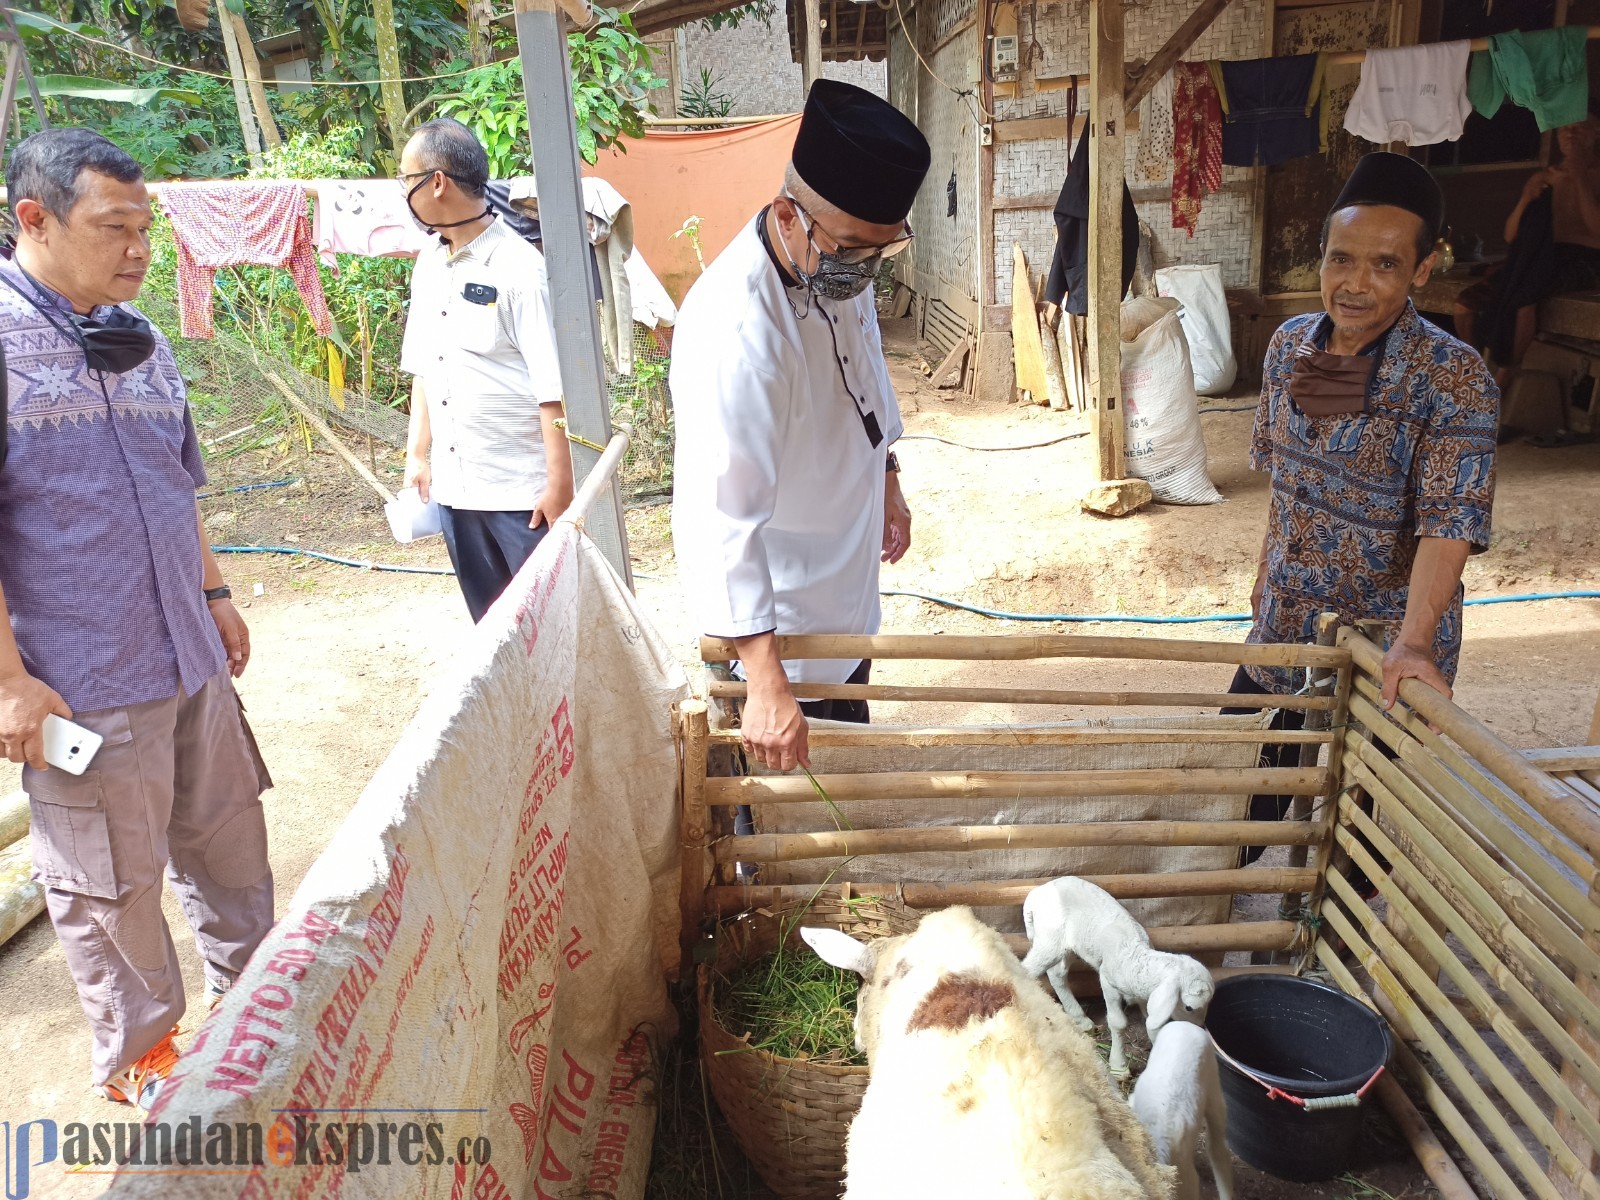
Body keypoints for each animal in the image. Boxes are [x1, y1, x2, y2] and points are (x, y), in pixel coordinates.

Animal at [1024, 876, 1209, 1081]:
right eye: (1189, 1007)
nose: (1199, 1028)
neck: (1135, 957)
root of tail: (1037, 892)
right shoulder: (1107, 981)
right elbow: (1118, 1022)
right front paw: (1119, 1067)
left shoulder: (1145, 994)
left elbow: (1149, 1019)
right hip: (1050, 940)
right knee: (1027, 969)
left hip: (1069, 946)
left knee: (1057, 974)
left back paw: (1080, 1019)